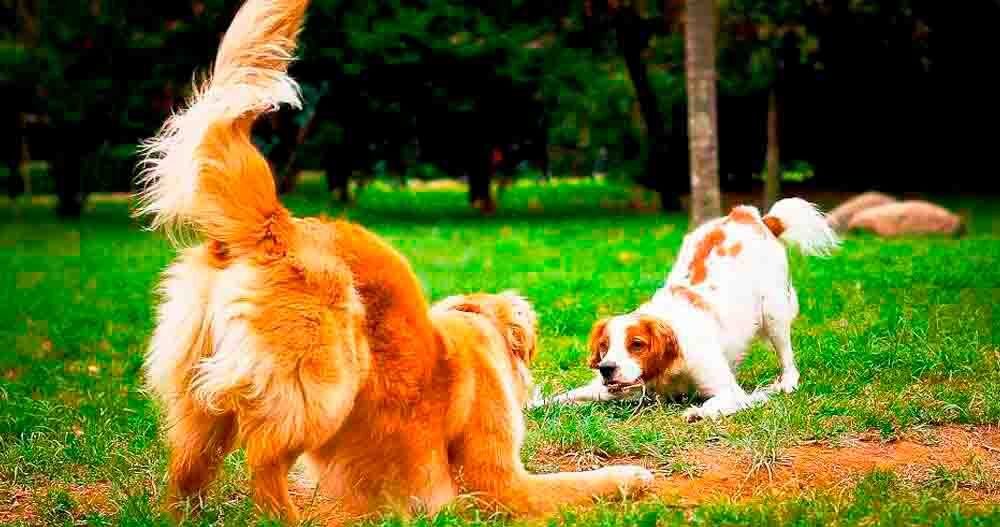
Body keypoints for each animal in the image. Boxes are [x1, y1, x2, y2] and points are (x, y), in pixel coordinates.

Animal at [139, 0, 656, 520]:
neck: (478, 329)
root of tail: (275, 224)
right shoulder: (500, 481)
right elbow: (583, 482)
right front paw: (631, 477)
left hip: (200, 407)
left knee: (187, 471)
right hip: (324, 386)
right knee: (263, 461)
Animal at [536, 200, 840, 422]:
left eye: (637, 344)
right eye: (604, 346)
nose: (606, 368)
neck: (670, 362)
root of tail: (750, 215)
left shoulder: (730, 392)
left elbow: (718, 403)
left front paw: (698, 412)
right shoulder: (610, 388)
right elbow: (565, 396)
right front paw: (537, 403)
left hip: (773, 312)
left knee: (787, 358)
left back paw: (786, 383)